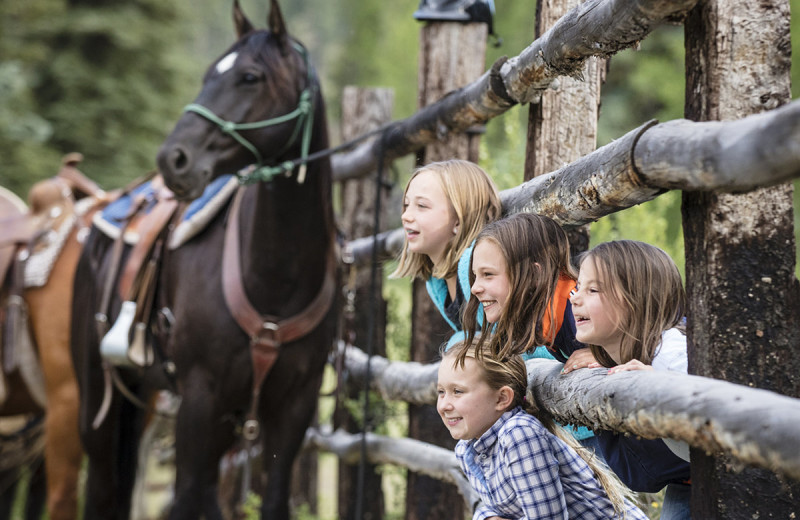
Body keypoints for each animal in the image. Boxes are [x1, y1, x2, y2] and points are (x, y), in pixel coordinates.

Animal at [70, 0, 340, 516]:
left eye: (251, 77)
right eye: (207, 75)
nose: (173, 159)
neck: (276, 279)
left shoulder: (292, 408)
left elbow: (270, 499)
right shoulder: (199, 399)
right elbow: (186, 496)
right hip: (98, 397)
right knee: (102, 485)